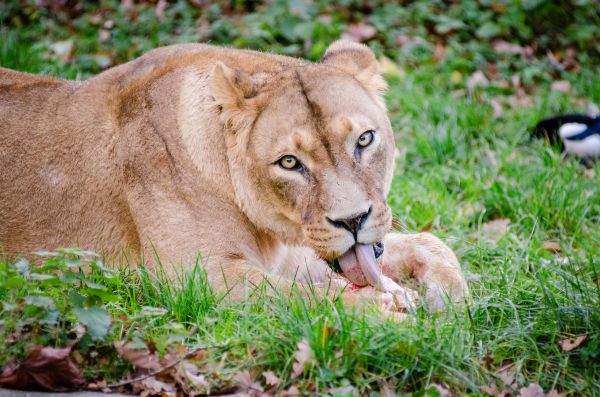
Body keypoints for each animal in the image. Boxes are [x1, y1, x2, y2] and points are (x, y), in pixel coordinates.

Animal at [0, 40, 468, 312]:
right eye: (290, 163)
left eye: (365, 140)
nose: (352, 221)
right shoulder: (194, 277)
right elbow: (310, 299)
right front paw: (388, 311)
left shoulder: (293, 252)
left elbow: (432, 242)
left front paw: (450, 296)